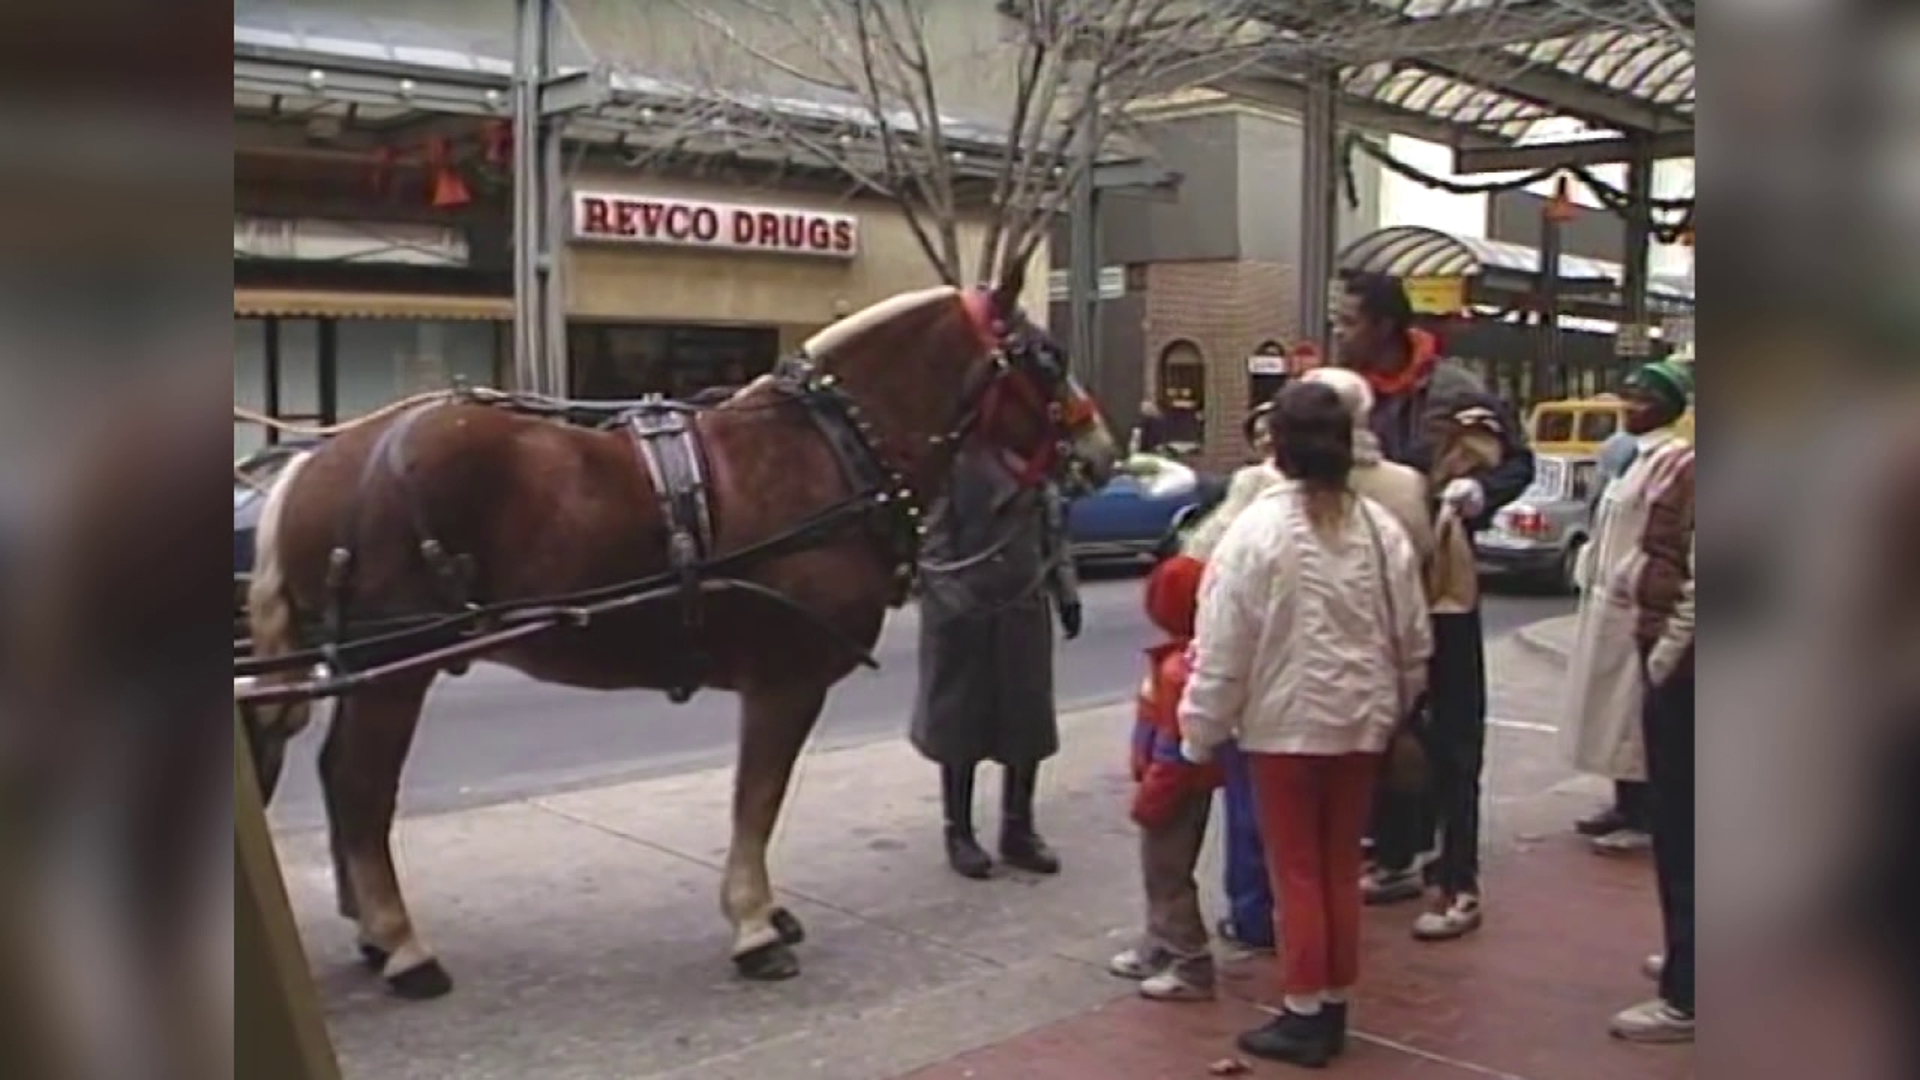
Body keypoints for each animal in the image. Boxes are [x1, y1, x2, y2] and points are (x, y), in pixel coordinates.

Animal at [241, 274, 1121, 991]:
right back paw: (402, 945)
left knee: (338, 777)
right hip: (397, 666)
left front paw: (766, 912)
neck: (828, 450)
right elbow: (757, 800)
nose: (1103, 450)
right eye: (1046, 356)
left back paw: (371, 931)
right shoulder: (785, 682)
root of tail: (315, 462)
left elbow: (756, 801)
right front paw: (756, 924)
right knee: (361, 786)